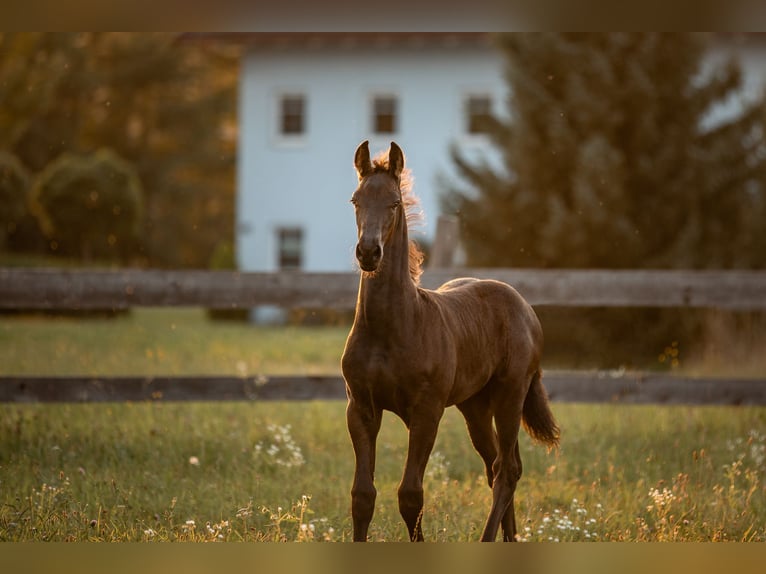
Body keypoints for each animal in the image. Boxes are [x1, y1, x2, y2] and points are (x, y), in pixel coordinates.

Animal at [341, 140, 560, 542]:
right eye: (355, 199)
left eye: (394, 202)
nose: (368, 252)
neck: (391, 329)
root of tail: (524, 306)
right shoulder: (361, 408)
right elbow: (363, 495)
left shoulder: (427, 412)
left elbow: (411, 495)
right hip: (475, 406)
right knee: (498, 465)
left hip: (511, 394)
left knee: (506, 470)